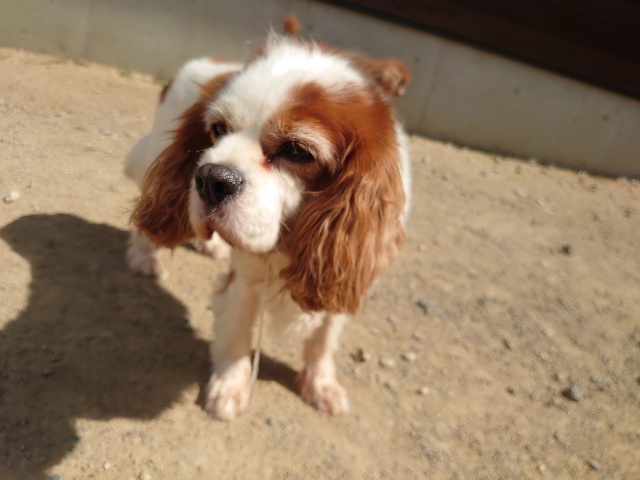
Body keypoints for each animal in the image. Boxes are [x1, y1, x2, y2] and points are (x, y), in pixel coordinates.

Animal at [126, 31, 411, 420]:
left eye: (296, 151)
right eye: (218, 130)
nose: (211, 178)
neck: (291, 238)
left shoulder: (346, 273)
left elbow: (323, 341)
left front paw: (320, 385)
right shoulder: (245, 279)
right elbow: (238, 332)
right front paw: (230, 386)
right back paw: (143, 257)